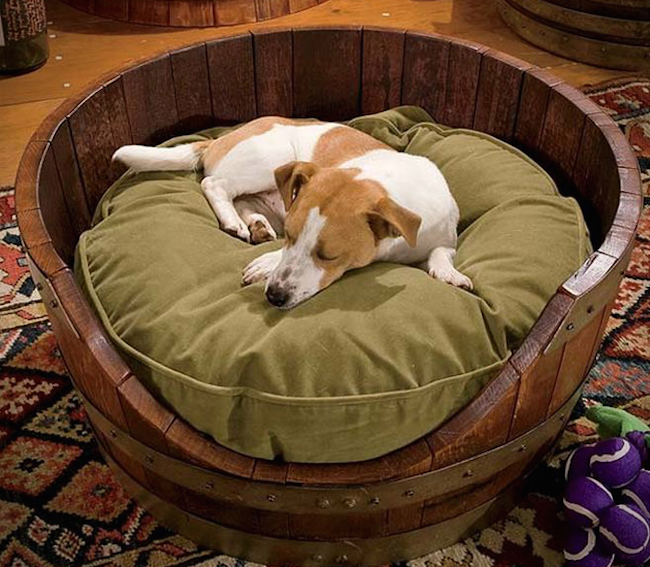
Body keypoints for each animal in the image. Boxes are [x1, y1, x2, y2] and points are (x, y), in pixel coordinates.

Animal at [110, 116, 466, 310]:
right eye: (291, 238)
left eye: (330, 255)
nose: (274, 296)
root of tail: (217, 140)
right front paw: (266, 263)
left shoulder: (445, 239)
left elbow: (440, 253)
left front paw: (448, 273)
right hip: (271, 158)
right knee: (215, 184)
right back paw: (233, 221)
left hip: (270, 191)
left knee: (243, 200)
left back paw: (255, 225)